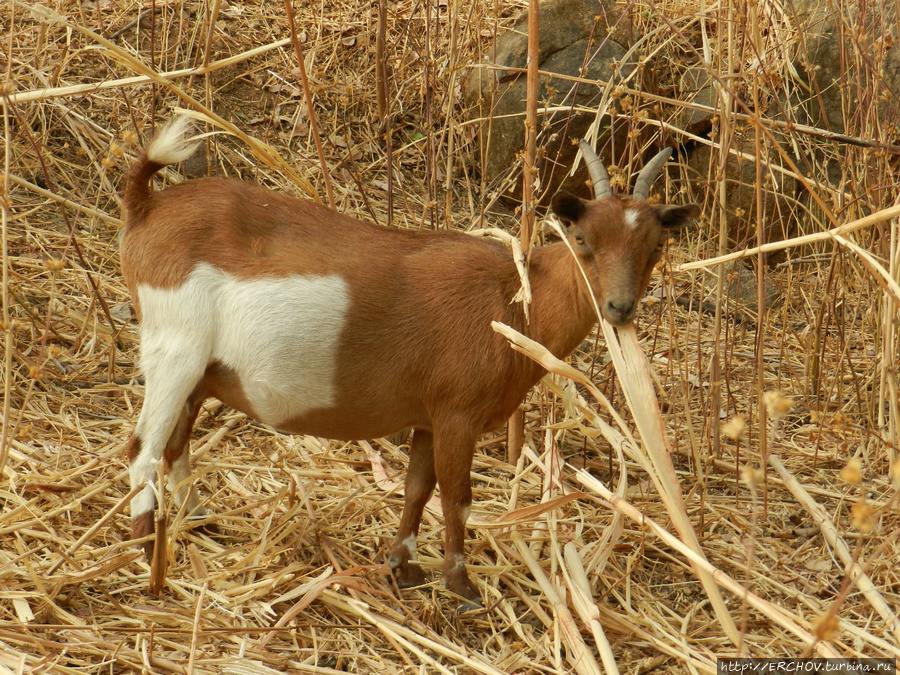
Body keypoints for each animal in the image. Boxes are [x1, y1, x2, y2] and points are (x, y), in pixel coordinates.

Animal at [118, 116, 696, 608]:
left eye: (655, 248)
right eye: (582, 241)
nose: (620, 307)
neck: (516, 299)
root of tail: (146, 206)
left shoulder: (428, 416)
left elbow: (418, 489)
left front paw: (405, 567)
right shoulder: (458, 414)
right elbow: (458, 497)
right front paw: (462, 587)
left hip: (200, 371)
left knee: (175, 442)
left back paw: (196, 519)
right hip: (174, 347)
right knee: (143, 448)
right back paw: (149, 557)